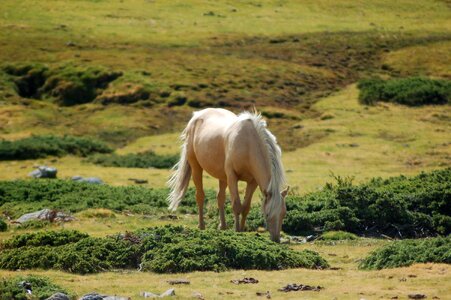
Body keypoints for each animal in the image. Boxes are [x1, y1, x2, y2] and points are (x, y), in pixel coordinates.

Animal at [167, 107, 290, 241]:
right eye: (267, 214)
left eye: (283, 213)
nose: (276, 239)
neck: (247, 144)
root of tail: (197, 115)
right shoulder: (232, 177)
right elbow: (236, 205)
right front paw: (236, 231)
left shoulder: (252, 182)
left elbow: (245, 207)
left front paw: (241, 230)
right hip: (196, 167)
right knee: (200, 196)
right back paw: (201, 225)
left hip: (222, 177)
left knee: (220, 198)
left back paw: (223, 226)